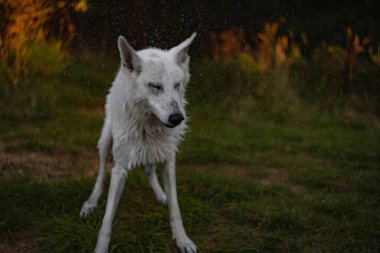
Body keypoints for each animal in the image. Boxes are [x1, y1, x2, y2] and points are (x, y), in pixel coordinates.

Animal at [80, 34, 199, 253]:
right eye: (155, 86)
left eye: (177, 85)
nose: (178, 118)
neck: (148, 127)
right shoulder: (119, 169)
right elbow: (107, 219)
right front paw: (100, 247)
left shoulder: (168, 161)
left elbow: (176, 208)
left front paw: (182, 240)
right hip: (105, 142)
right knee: (100, 175)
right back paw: (91, 203)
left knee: (149, 170)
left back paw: (161, 195)